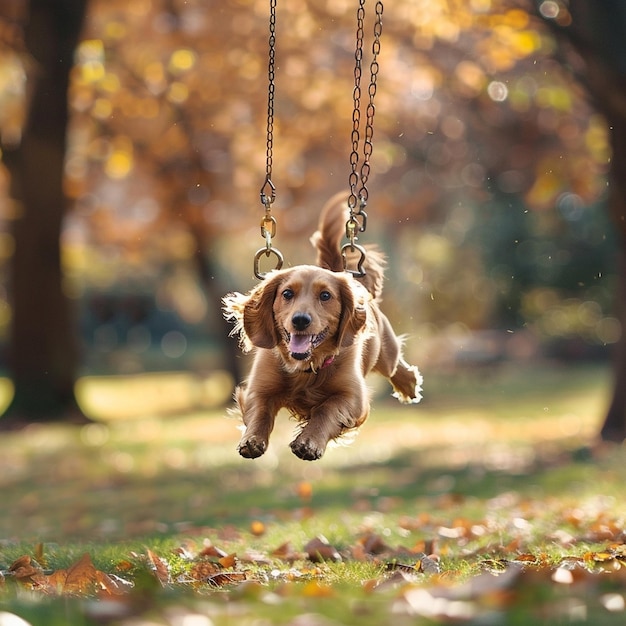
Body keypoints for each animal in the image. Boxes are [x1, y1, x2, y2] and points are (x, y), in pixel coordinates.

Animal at [222, 193, 422, 460]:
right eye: (287, 293)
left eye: (325, 296)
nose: (300, 320)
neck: (305, 368)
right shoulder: (259, 388)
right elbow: (260, 413)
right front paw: (252, 440)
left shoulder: (352, 397)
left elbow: (327, 409)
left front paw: (309, 442)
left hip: (385, 350)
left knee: (393, 364)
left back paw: (408, 384)